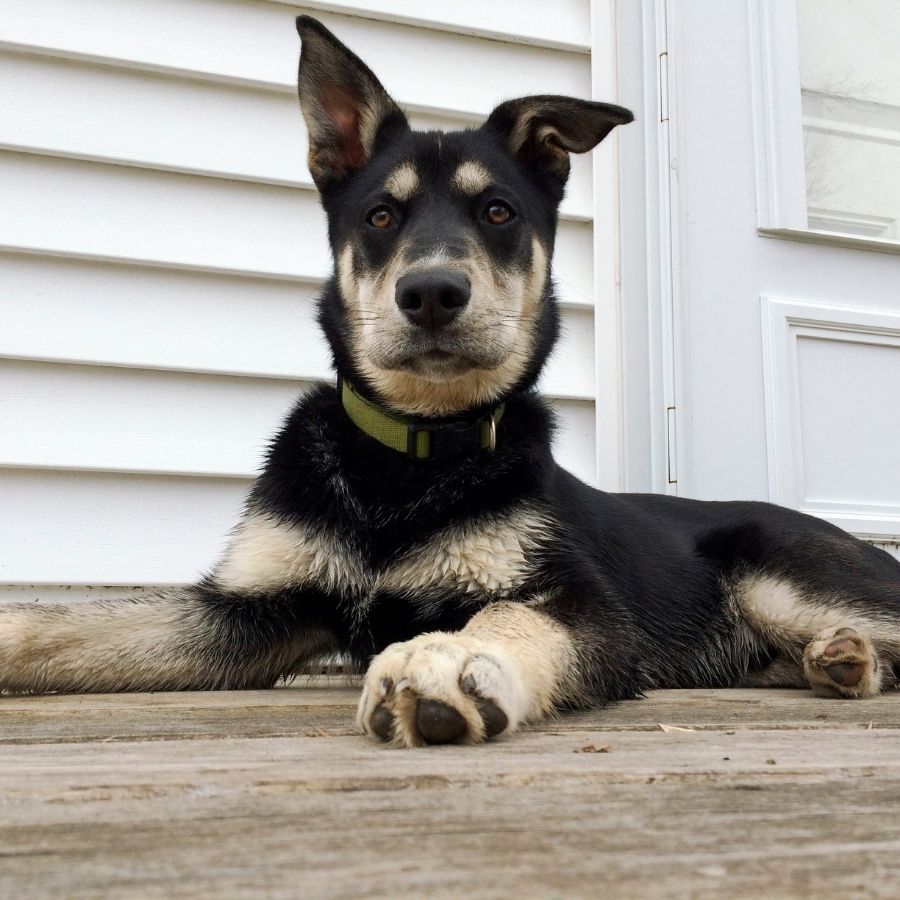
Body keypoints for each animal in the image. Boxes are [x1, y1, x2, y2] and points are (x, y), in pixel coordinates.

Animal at [3, 17, 896, 744]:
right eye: (380, 216)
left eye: (498, 212)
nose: (431, 293)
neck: (410, 453)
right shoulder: (254, 608)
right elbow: (71, 624)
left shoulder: (582, 606)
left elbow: (503, 614)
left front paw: (446, 663)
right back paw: (834, 661)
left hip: (780, 574)